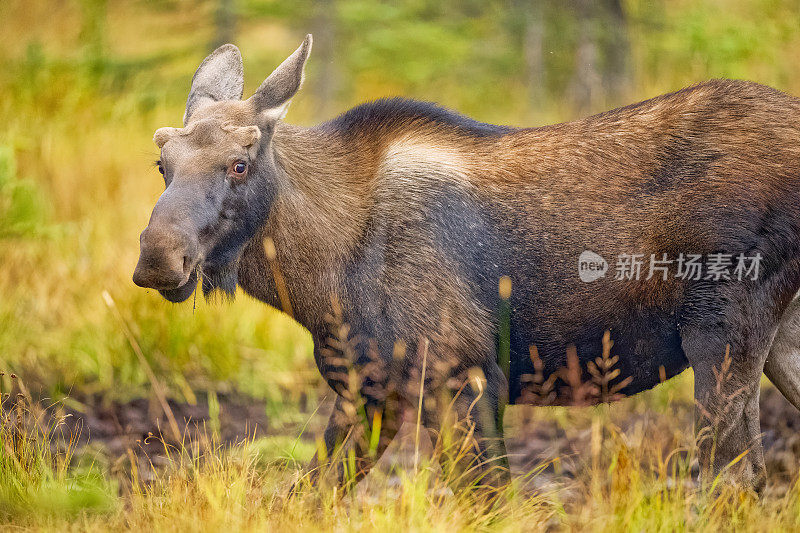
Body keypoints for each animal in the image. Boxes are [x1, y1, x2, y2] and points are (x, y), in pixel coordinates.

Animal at [133, 34, 800, 490]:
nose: (159, 258)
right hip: (778, 336)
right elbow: (311, 494)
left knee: (735, 476)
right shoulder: (368, 390)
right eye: (161, 162)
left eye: (240, 164)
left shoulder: (460, 374)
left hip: (724, 328)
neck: (318, 278)